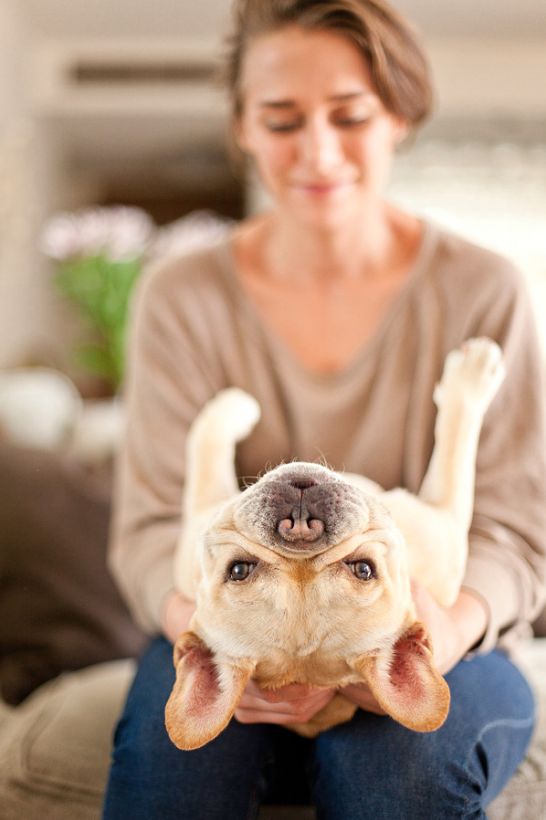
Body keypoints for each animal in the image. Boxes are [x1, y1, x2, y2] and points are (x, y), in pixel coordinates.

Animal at [164, 336, 504, 748]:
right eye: (239, 569)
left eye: (363, 569)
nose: (299, 527)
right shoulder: (446, 522)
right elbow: (456, 445)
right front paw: (473, 375)